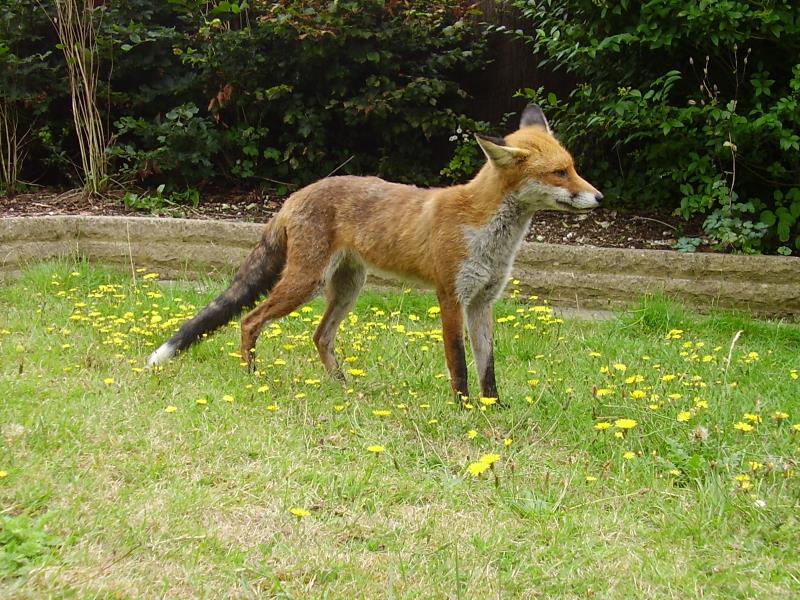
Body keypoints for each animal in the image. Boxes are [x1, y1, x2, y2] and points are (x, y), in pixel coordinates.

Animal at [148, 104, 600, 404]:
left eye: (573, 167)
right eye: (559, 173)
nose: (598, 197)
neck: (488, 232)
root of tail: (294, 195)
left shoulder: (483, 301)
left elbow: (487, 364)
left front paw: (494, 408)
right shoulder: (451, 296)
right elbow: (458, 362)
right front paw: (464, 408)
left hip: (349, 287)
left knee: (320, 335)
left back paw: (342, 385)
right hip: (306, 283)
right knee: (249, 320)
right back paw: (254, 377)